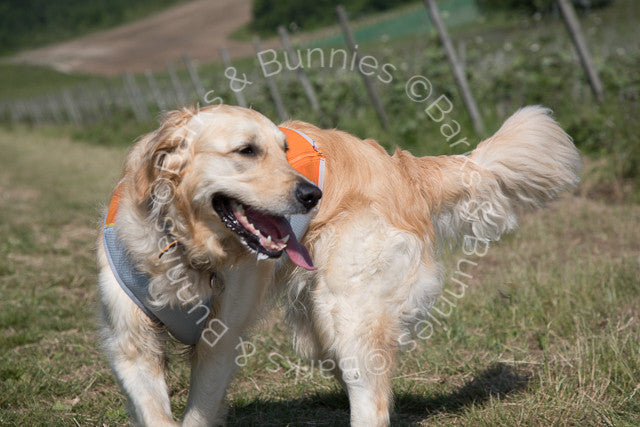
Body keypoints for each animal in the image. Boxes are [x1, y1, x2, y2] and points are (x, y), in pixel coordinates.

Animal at [97, 104, 584, 427]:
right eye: (246, 150)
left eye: (284, 149)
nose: (312, 194)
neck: (182, 245)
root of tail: (398, 167)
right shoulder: (130, 345)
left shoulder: (220, 341)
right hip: (321, 333)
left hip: (347, 313)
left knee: (372, 401)